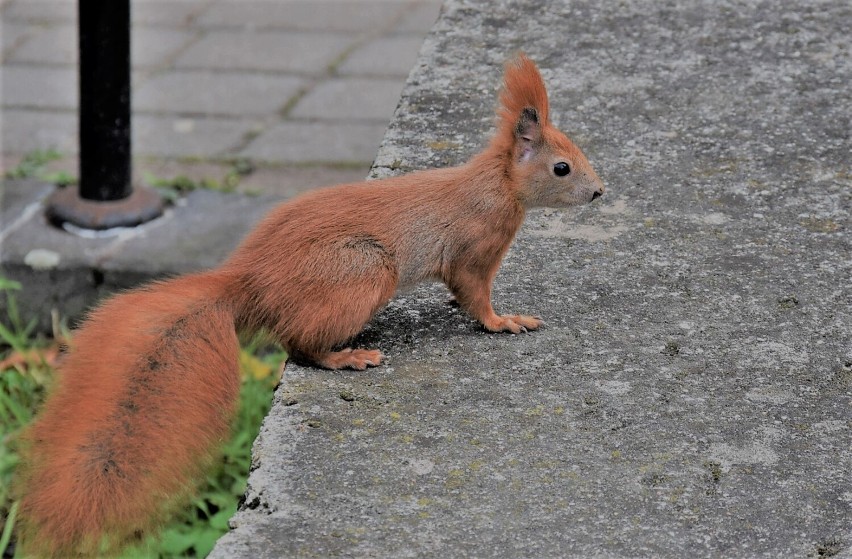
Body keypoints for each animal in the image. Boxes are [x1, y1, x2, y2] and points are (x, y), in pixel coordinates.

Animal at [15, 54, 604, 556]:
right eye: (562, 168)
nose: (599, 192)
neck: (498, 184)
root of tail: (253, 280)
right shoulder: (474, 250)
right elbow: (474, 296)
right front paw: (505, 322)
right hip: (363, 273)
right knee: (299, 346)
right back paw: (348, 357)